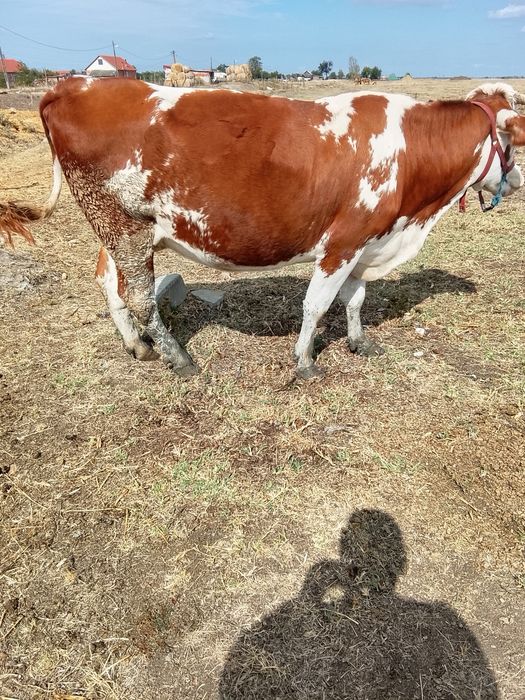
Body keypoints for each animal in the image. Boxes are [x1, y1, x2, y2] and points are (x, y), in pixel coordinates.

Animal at [1, 78, 525, 378]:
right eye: (512, 144)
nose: (517, 180)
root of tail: (72, 84)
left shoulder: (368, 241)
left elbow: (355, 299)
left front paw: (358, 342)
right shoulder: (343, 241)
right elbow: (316, 305)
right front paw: (306, 362)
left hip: (123, 228)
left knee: (109, 281)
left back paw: (139, 346)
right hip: (123, 225)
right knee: (141, 297)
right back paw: (179, 359)